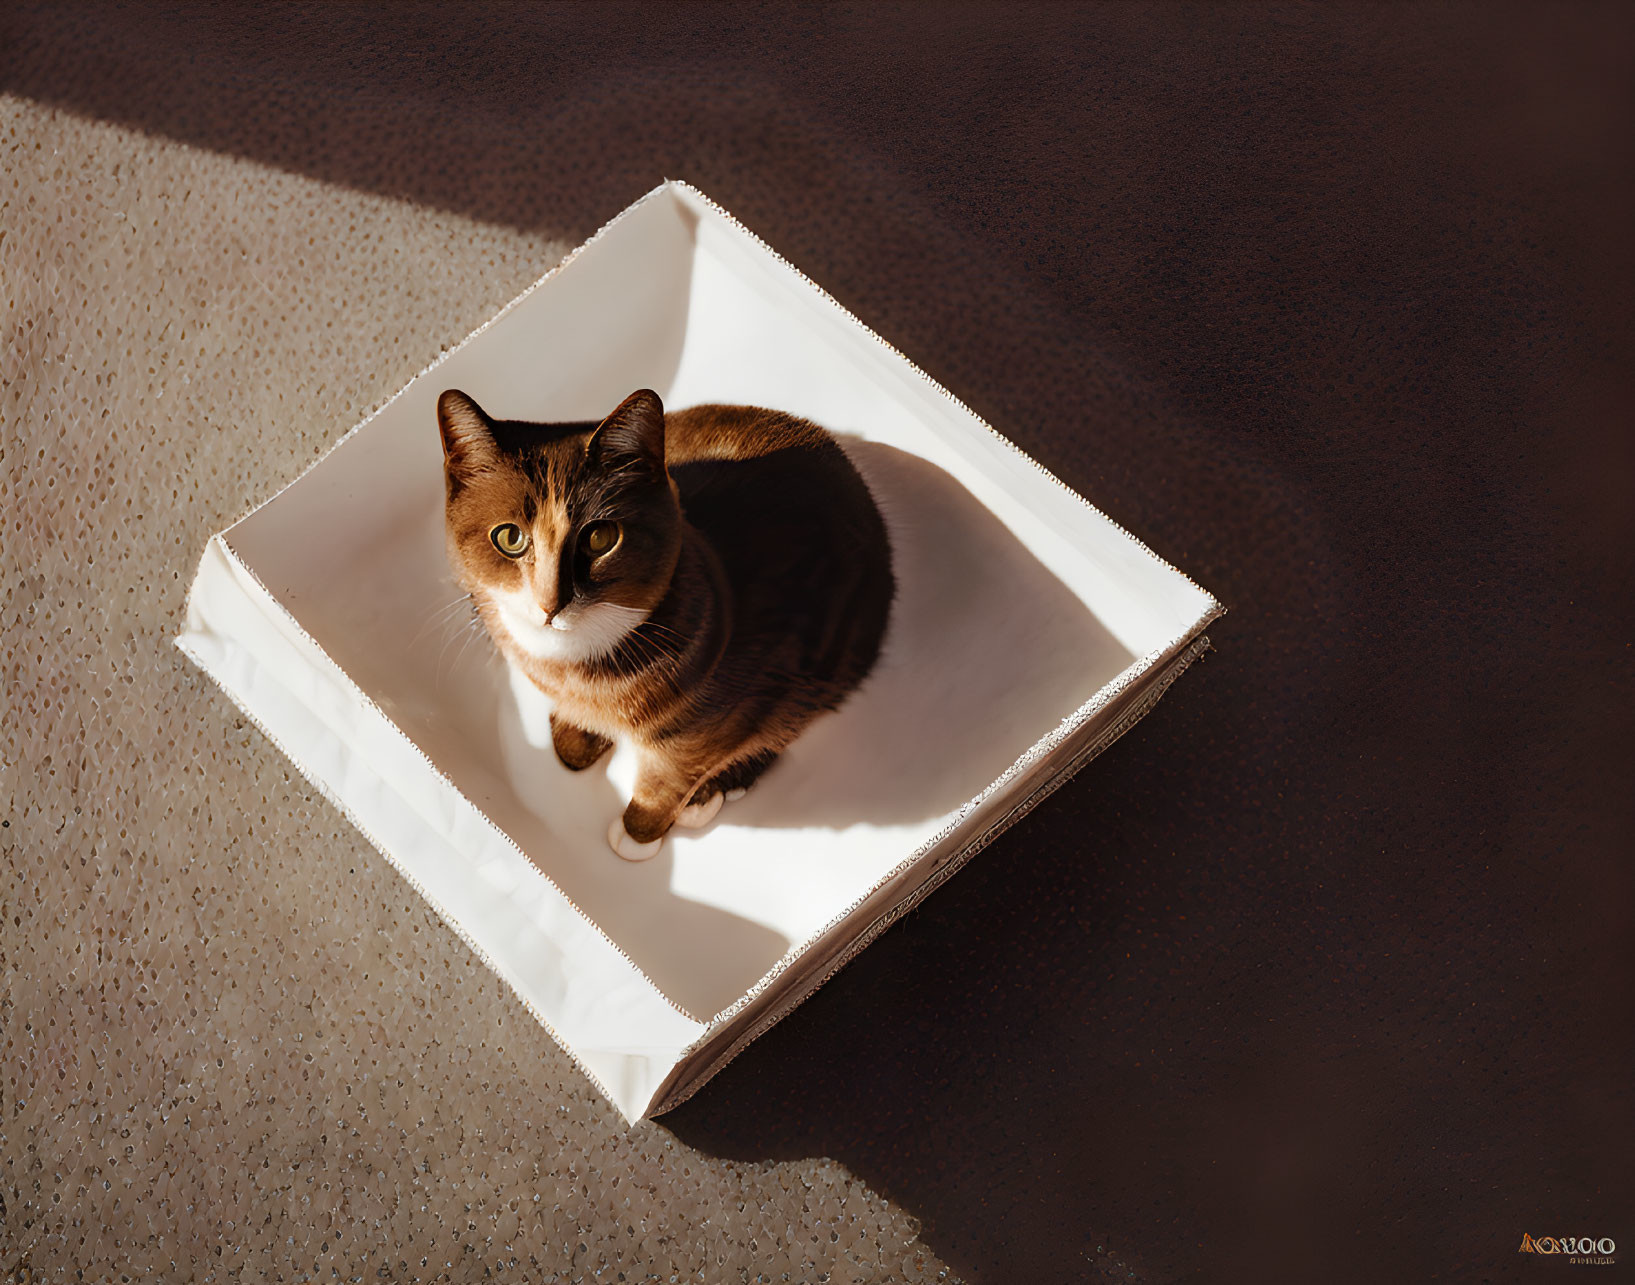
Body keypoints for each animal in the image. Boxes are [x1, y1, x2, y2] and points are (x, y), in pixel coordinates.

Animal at [434, 385, 895, 856]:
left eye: (600, 538)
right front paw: (574, 734)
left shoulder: (727, 710)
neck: (577, 666)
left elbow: (668, 782)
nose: (551, 603)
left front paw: (639, 833)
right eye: (509, 537)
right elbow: (574, 740)